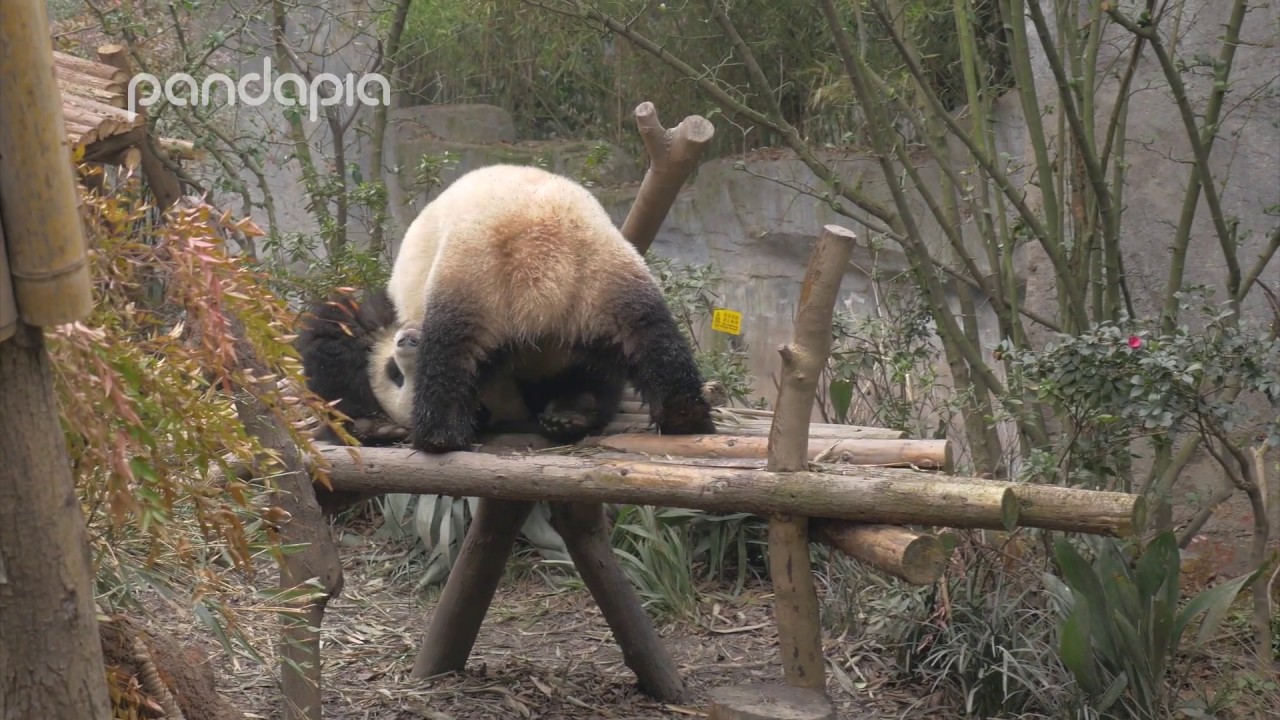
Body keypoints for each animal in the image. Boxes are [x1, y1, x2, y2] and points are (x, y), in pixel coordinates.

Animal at [384, 165, 716, 450]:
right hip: (607, 273)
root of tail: (540, 253)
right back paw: (681, 416)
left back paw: (438, 437)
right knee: (650, 338)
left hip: (472, 276)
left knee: (451, 352)